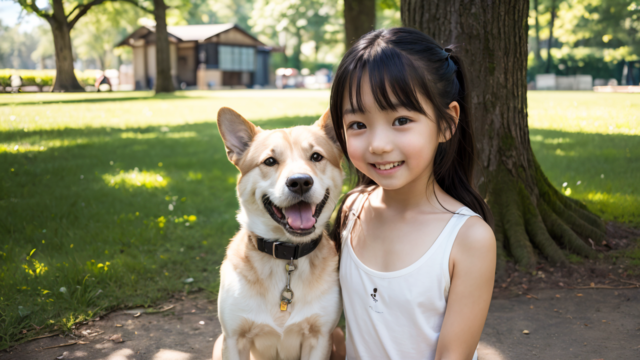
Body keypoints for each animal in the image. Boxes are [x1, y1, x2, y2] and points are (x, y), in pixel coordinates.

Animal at [214, 107, 344, 360]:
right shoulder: (233, 339)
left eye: (316, 156)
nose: (300, 182)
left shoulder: (320, 337)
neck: (287, 255)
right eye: (270, 161)